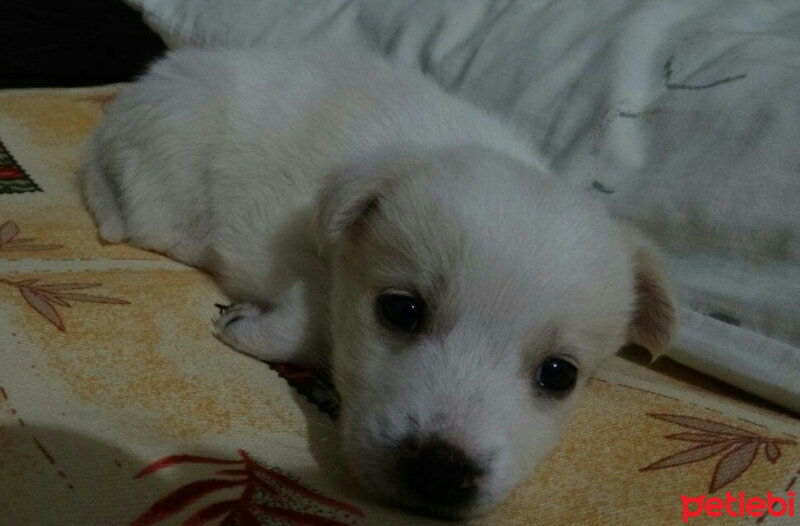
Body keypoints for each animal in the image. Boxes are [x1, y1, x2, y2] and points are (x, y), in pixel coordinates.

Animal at [84, 47, 676, 520]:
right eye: (402, 311)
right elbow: (309, 317)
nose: (442, 470)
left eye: (559, 375)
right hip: (166, 182)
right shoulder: (293, 243)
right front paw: (244, 322)